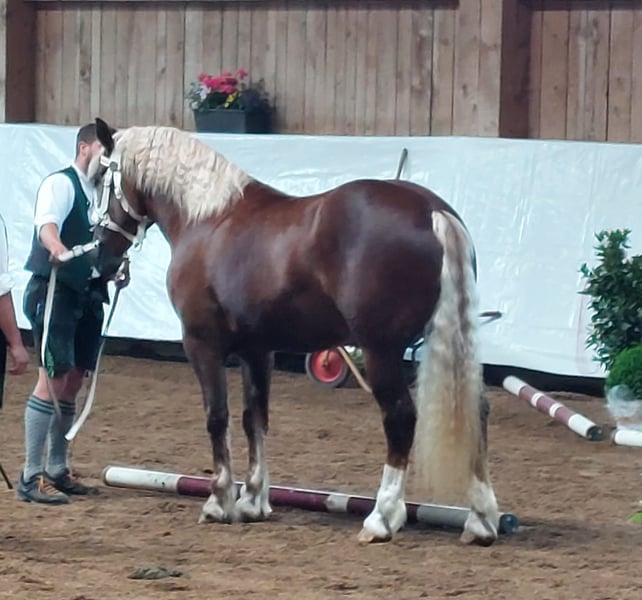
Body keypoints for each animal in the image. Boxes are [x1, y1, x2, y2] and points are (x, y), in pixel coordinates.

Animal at [89, 117, 500, 546]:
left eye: (100, 177)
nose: (101, 252)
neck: (208, 219)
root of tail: (432, 211)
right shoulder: (257, 349)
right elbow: (254, 417)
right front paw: (253, 500)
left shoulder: (202, 342)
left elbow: (217, 416)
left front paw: (219, 501)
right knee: (478, 411)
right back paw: (481, 520)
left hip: (380, 350)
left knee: (400, 417)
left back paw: (381, 518)